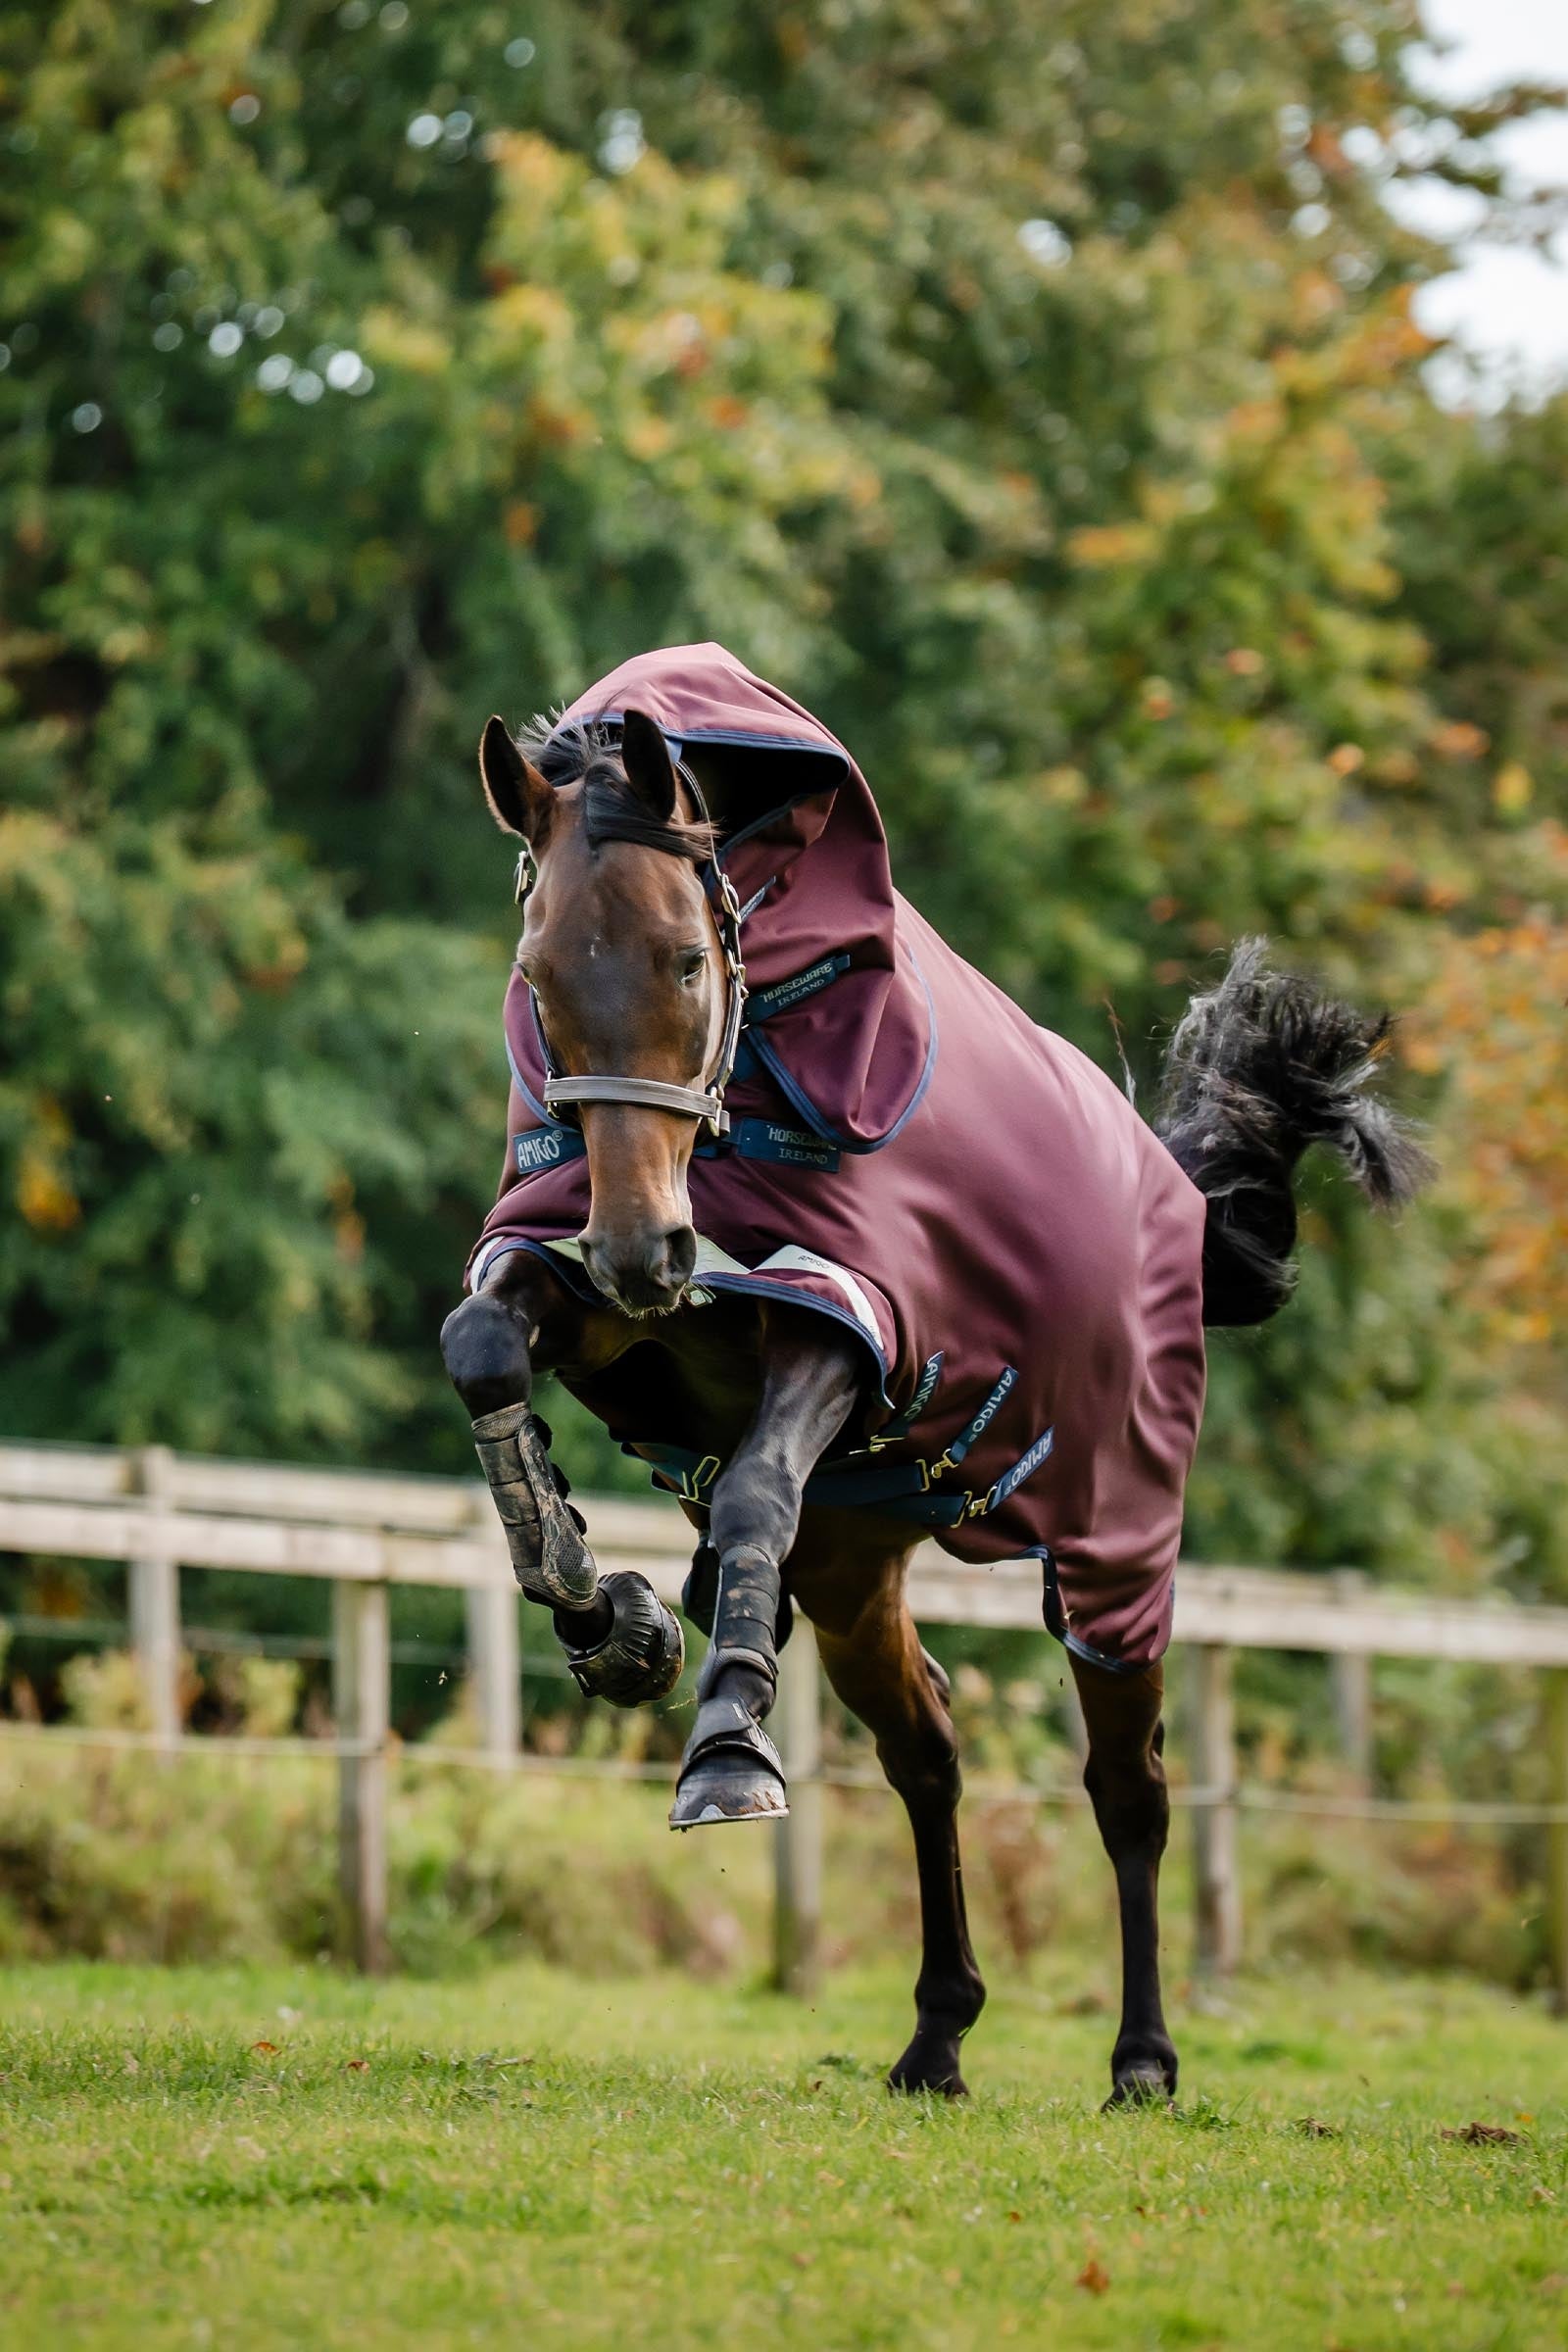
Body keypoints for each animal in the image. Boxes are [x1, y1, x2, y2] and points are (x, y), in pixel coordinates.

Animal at [439, 645, 1429, 2102]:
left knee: (1128, 1789)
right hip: (853, 1564)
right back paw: (937, 2034)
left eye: (683, 959)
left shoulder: (846, 1322)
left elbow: (751, 1488)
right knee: (931, 1754)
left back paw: (1142, 2058)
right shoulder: (590, 1292)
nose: (638, 1251)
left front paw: (723, 1753)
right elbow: (484, 1351)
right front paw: (613, 1617)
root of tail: (1173, 1202)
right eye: (540, 973)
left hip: (1117, 1550)